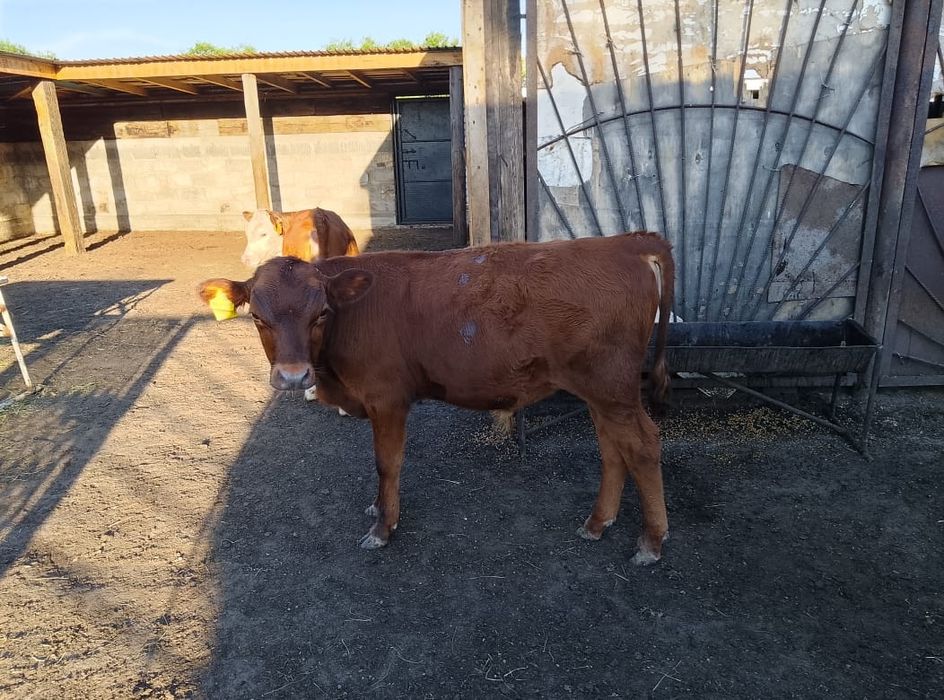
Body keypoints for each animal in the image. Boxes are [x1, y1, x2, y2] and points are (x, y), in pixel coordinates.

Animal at [199, 232, 674, 565]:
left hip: (612, 387)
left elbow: (387, 463)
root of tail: (626, 241)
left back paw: (650, 541)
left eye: (321, 314)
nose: (294, 376)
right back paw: (597, 522)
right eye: (258, 318)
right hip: (600, 390)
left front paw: (383, 526)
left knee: (643, 446)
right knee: (612, 449)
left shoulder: (387, 398)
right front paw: (377, 508)